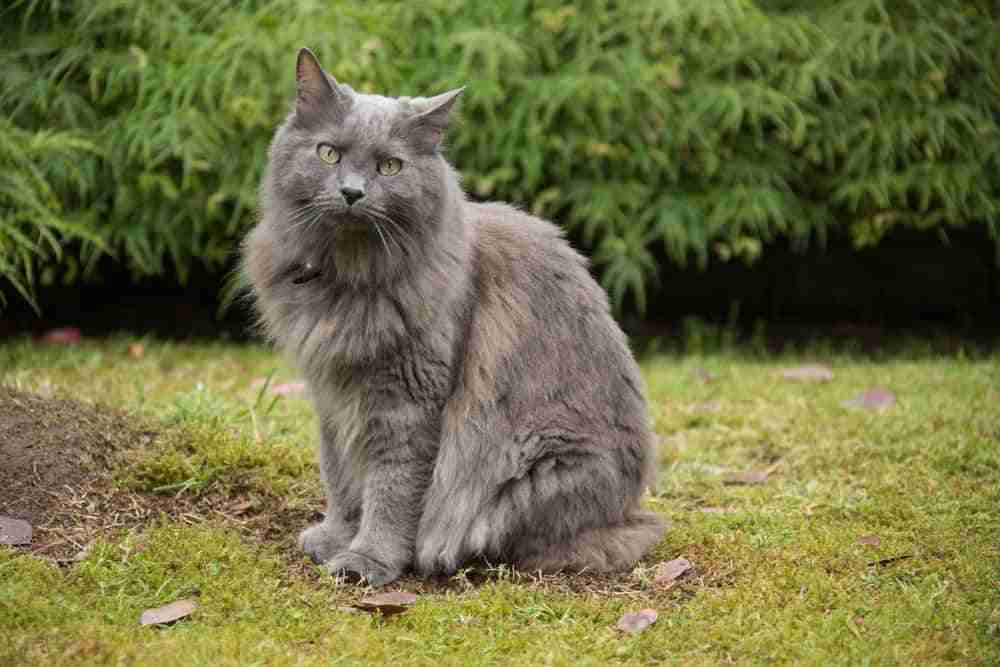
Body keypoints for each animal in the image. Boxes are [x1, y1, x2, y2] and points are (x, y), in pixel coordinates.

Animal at [243, 49, 664, 588]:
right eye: (329, 154)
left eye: (389, 165)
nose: (353, 192)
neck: (347, 280)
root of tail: (627, 512)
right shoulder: (333, 395)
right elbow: (339, 475)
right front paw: (336, 537)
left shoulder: (408, 402)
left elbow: (391, 489)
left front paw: (368, 560)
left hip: (532, 466)